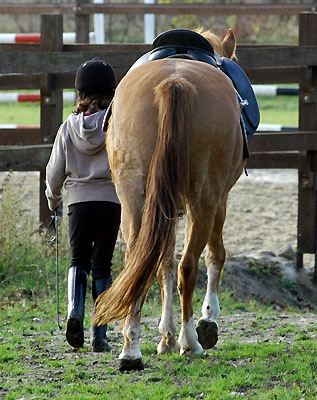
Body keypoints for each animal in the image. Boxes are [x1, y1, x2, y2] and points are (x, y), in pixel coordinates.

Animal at [93, 28, 244, 372]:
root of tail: (174, 83)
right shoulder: (220, 199)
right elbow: (214, 255)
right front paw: (207, 320)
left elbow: (164, 266)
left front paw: (166, 338)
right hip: (203, 200)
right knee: (189, 265)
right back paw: (191, 341)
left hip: (134, 199)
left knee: (138, 263)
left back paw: (131, 349)